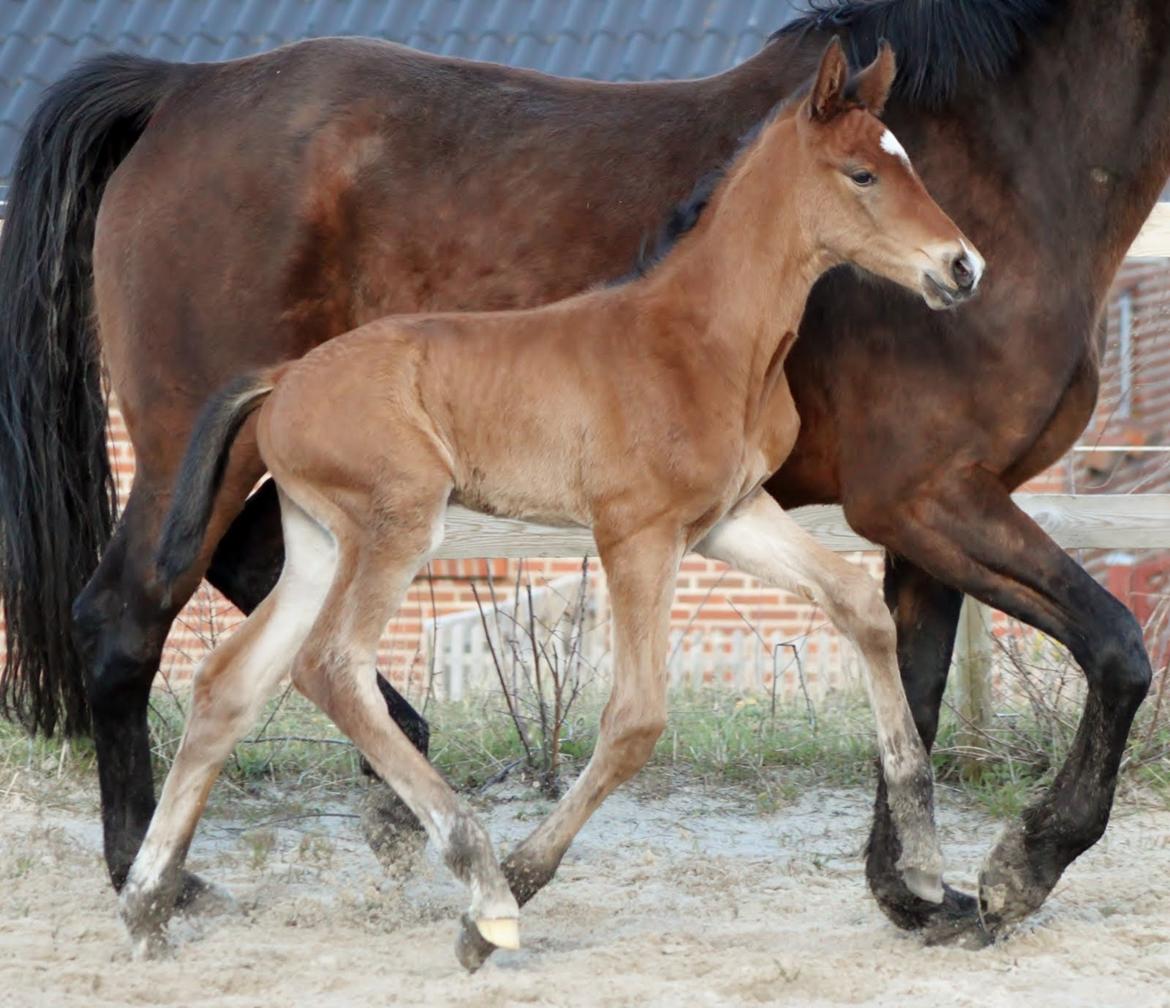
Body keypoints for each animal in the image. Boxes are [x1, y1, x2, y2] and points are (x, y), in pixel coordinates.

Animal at [123, 43, 982, 968]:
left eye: (907, 160)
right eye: (862, 173)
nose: (962, 266)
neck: (708, 341)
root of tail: (282, 380)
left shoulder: (731, 517)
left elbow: (859, 602)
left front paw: (926, 866)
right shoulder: (636, 532)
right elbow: (636, 720)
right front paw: (515, 888)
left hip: (321, 541)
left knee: (230, 683)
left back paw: (146, 903)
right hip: (398, 520)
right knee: (330, 666)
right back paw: (485, 887)